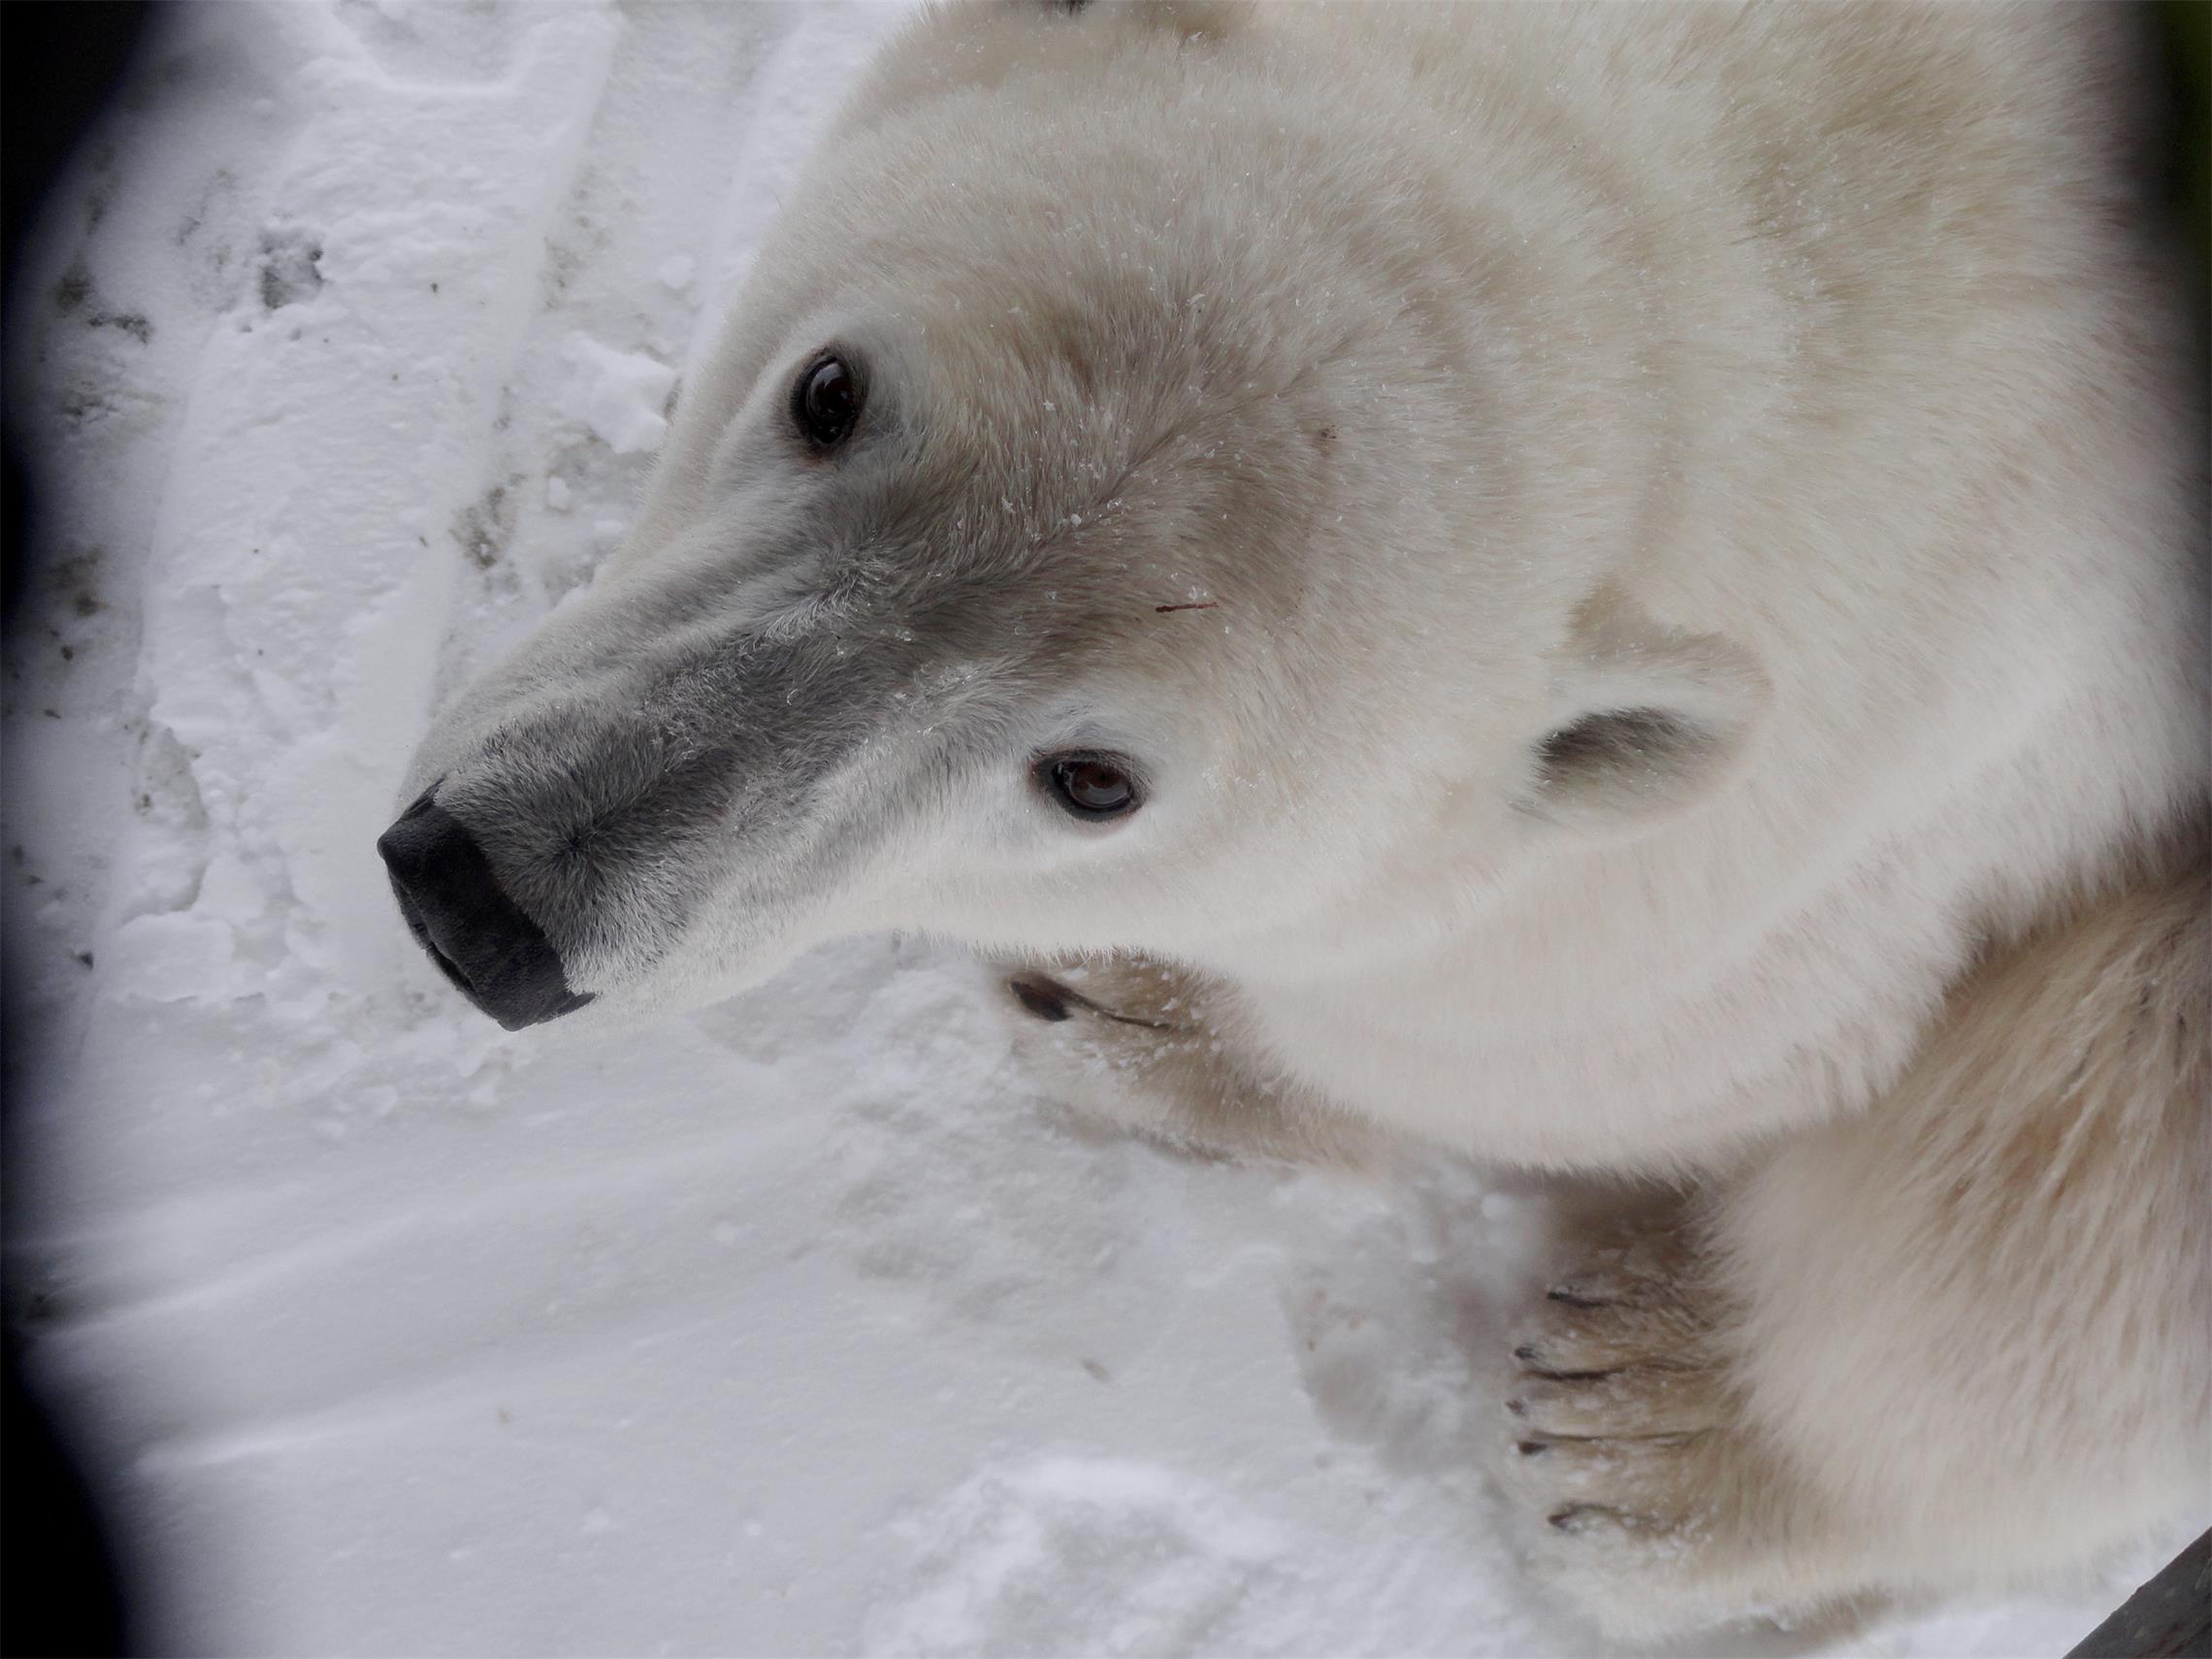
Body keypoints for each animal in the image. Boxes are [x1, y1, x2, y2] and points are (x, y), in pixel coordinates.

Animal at [384, 0, 2212, 1637]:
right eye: (829, 390)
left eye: (1093, 779)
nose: (491, 901)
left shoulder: (1832, 831)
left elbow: (1563, 1038)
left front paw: (1140, 1016)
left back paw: (1649, 1434)